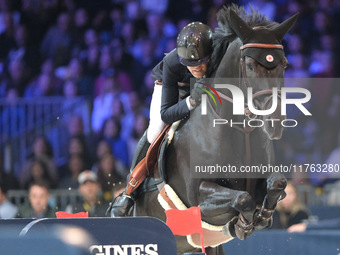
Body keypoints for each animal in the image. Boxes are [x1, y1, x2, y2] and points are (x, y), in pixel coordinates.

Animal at [135, 5, 298, 255]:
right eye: (250, 65)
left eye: (285, 64)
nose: (275, 122)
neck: (240, 129)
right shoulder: (197, 199)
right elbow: (243, 199)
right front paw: (242, 225)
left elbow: (277, 184)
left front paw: (261, 218)